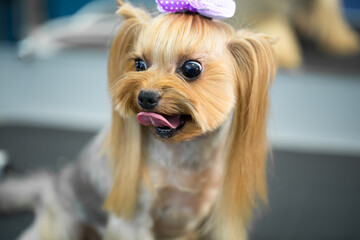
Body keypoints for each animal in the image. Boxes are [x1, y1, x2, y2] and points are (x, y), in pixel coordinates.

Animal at [0, 0, 276, 239]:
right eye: (139, 64)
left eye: (191, 69)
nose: (145, 96)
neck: (185, 155)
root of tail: (52, 185)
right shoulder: (131, 219)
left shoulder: (207, 219)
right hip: (61, 224)